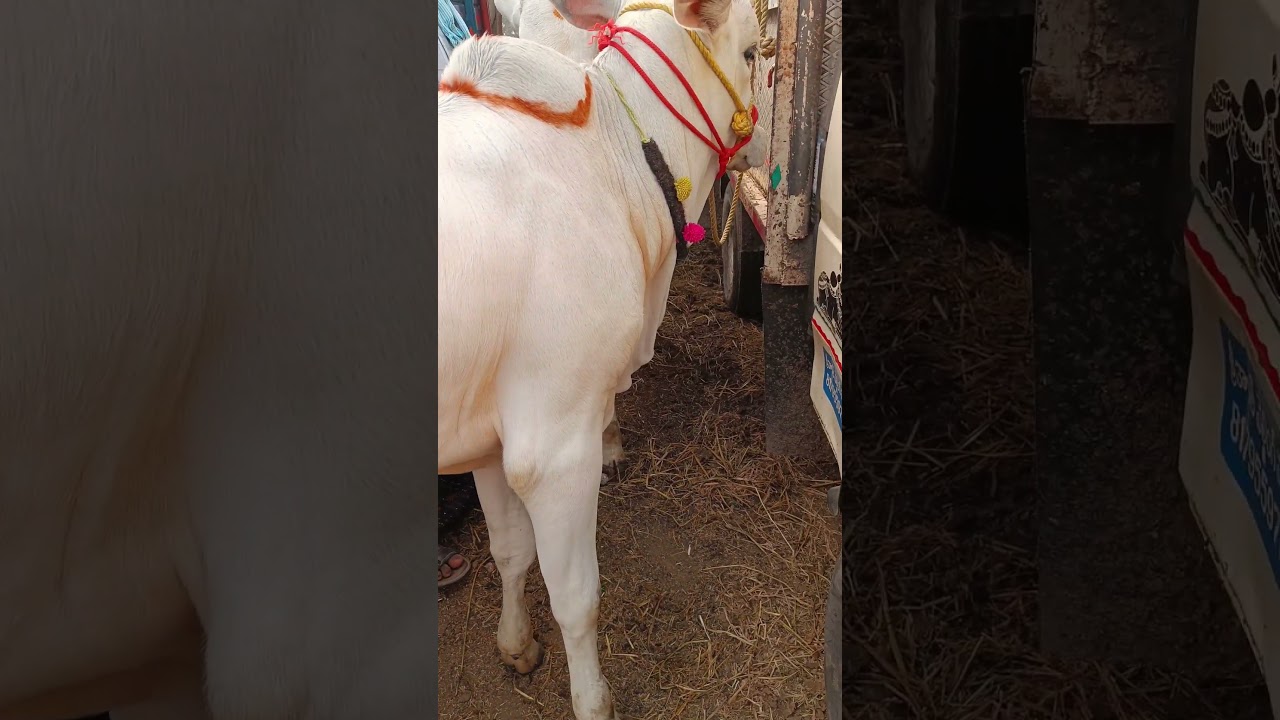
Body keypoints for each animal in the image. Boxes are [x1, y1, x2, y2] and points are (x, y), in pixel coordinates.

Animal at [437, 0, 765, 715]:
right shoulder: (555, 445)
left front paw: (516, 644)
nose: (765, 145)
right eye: (755, 51)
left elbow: (509, 550)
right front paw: (592, 699)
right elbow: (577, 599)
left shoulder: (491, 434)